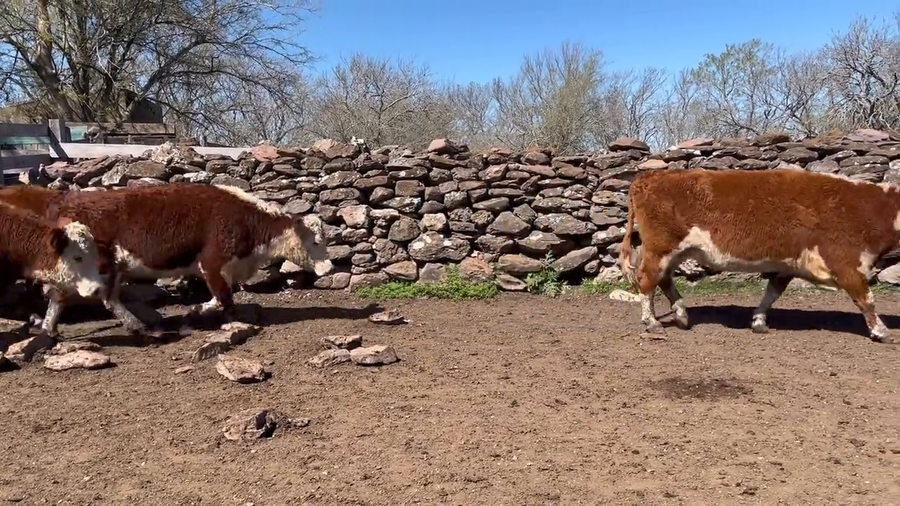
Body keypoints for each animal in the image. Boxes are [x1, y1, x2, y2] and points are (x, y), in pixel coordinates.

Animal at [618, 168, 900, 344]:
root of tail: (651, 175)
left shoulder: (788, 264)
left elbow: (772, 292)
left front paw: (759, 321)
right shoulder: (847, 263)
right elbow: (867, 300)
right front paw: (882, 331)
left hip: (674, 251)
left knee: (664, 279)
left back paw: (681, 315)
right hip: (660, 247)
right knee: (647, 280)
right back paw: (652, 322)